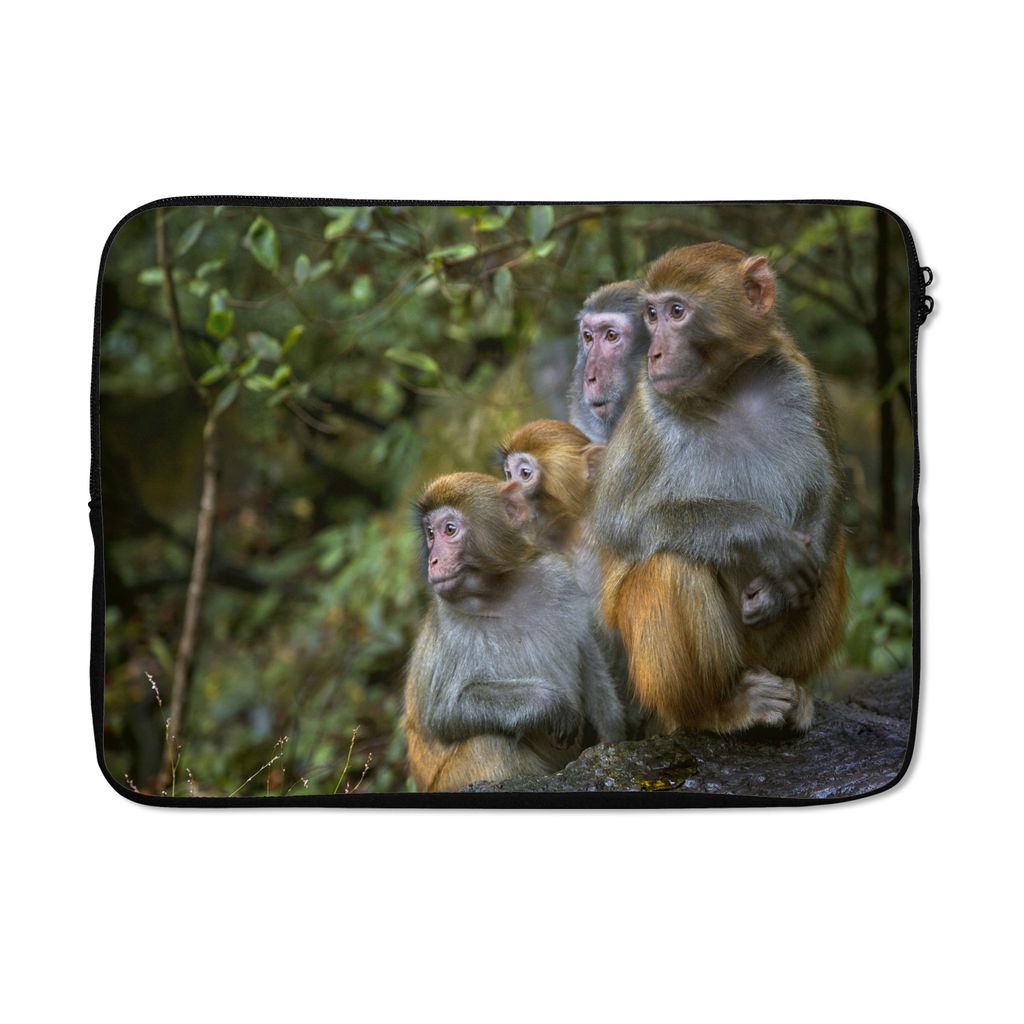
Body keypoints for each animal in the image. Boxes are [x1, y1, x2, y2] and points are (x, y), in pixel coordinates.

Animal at [402, 472, 625, 791]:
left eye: (449, 530)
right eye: (430, 534)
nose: (433, 560)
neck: (501, 593)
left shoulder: (559, 577)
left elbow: (586, 651)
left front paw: (612, 740)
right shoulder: (449, 624)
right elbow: (443, 712)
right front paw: (549, 704)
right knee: (490, 745)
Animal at [591, 242, 847, 735]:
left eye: (676, 312)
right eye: (651, 314)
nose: (654, 354)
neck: (726, 388)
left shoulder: (801, 378)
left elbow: (827, 488)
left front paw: (775, 591)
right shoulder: (647, 411)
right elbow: (620, 525)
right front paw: (758, 534)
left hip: (769, 653)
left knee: (829, 553)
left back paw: (797, 689)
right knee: (670, 562)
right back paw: (717, 709)